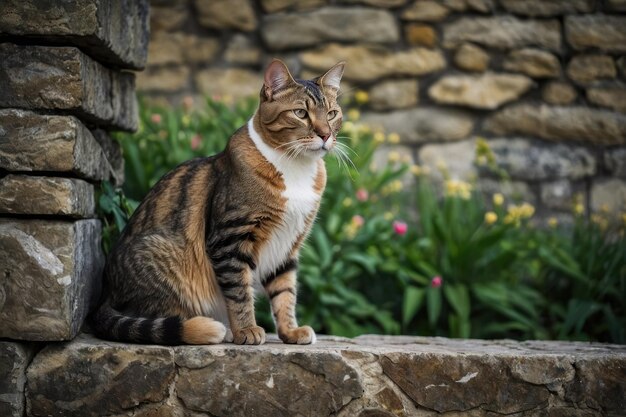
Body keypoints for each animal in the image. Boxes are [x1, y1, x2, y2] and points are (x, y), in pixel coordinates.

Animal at [91, 58, 346, 344]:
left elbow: (285, 292)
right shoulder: (229, 238)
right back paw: (214, 328)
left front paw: (290, 331)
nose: (325, 135)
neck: (295, 168)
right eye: (300, 113)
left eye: (332, 114)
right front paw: (246, 330)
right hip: (162, 257)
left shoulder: (288, 246)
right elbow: (239, 291)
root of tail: (105, 295)